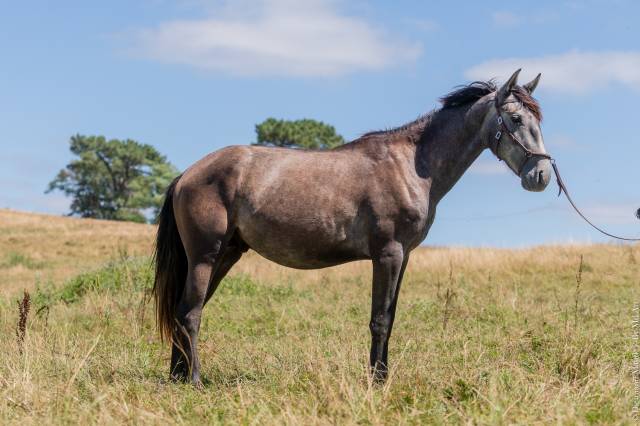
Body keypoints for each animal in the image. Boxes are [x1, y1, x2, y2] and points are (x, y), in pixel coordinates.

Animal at [153, 69, 552, 386]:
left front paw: (383, 377)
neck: (412, 165)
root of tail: (188, 174)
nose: (542, 175)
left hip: (226, 254)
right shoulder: (387, 254)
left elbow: (389, 317)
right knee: (190, 313)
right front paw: (376, 381)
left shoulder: (404, 257)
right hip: (206, 256)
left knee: (183, 309)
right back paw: (194, 379)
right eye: (515, 120)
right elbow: (380, 320)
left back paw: (177, 376)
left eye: (538, 121)